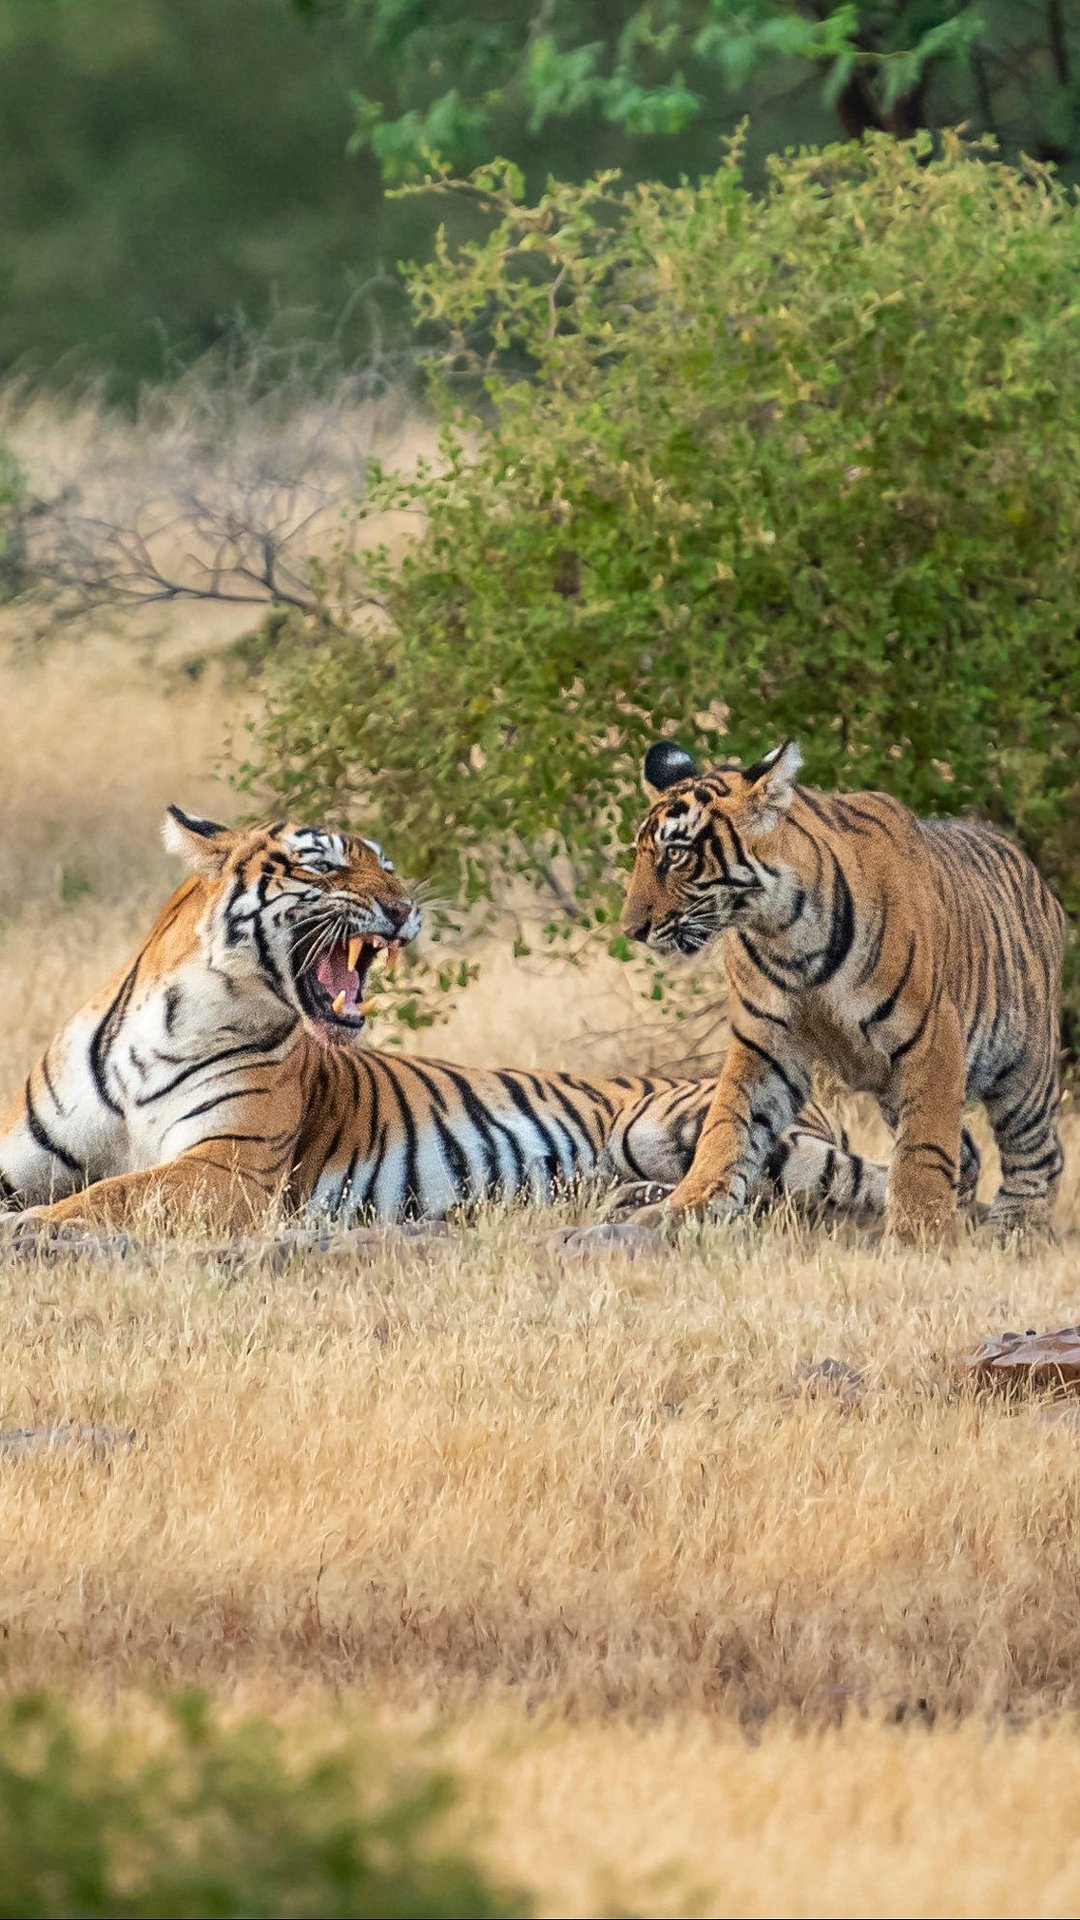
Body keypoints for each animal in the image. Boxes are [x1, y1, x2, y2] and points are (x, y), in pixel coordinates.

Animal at [0, 804, 892, 1238]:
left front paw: (37, 1227)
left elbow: (108, 1195)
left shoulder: (225, 1168)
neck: (178, 1022)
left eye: (387, 864)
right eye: (322, 863)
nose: (404, 908)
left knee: (818, 1186)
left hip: (676, 1125)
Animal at [621, 737, 1067, 1242]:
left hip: (1023, 1070)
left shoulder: (932, 1040)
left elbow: (925, 1147)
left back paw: (1015, 1228)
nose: (631, 930)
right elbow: (727, 1125)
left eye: (676, 854)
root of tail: (1039, 880)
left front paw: (916, 1238)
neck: (783, 933)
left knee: (1039, 1154)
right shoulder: (764, 1042)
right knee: (969, 1155)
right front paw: (685, 1208)